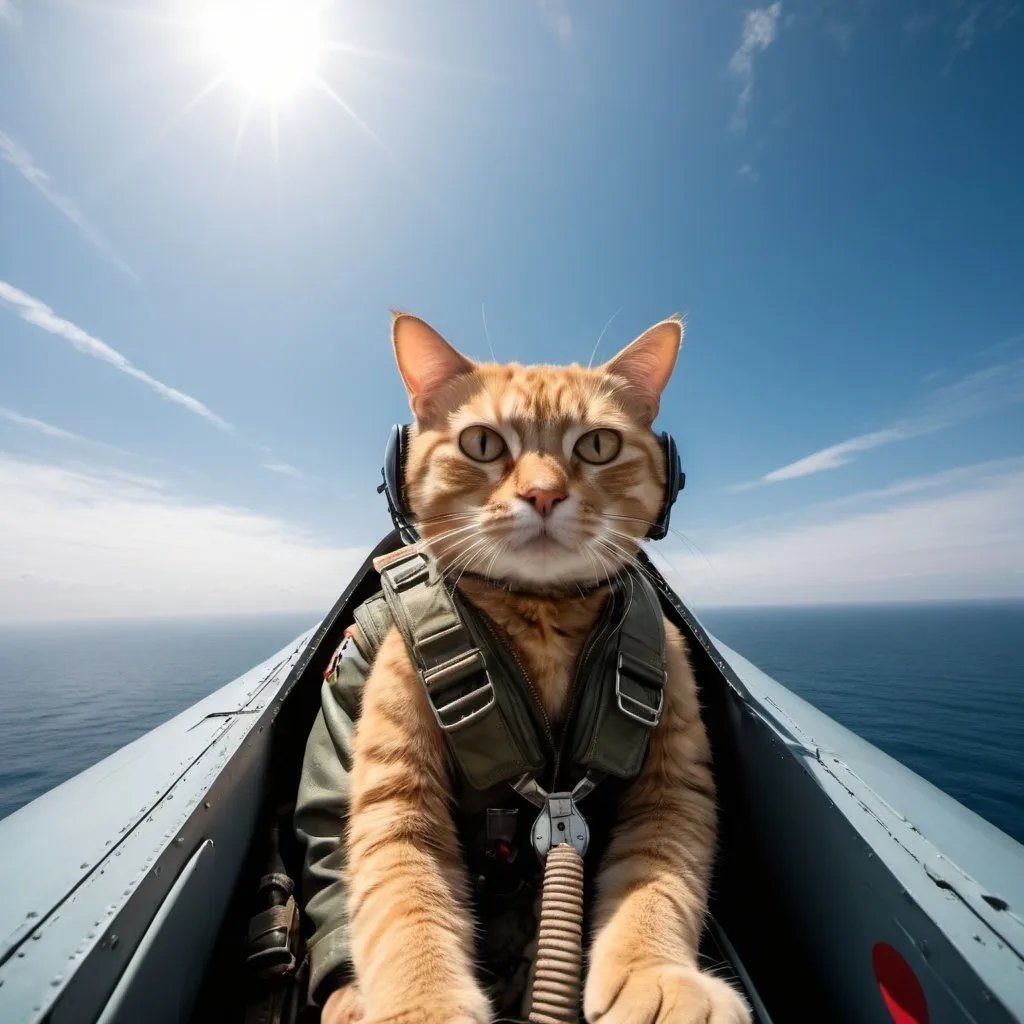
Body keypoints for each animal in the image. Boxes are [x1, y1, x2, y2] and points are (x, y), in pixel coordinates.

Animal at [331, 313, 749, 1024]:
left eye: (600, 445)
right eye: (480, 443)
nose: (544, 493)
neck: (544, 617)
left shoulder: (675, 779)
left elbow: (659, 880)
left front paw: (656, 978)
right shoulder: (396, 792)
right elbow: (404, 902)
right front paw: (423, 1005)